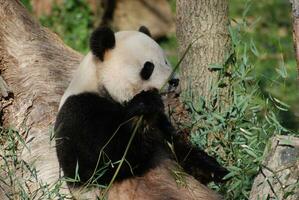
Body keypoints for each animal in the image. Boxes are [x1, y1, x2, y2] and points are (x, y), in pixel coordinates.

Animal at [55, 26, 227, 200]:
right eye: (148, 67)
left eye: (165, 61)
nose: (174, 81)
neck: (99, 83)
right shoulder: (80, 112)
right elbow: (104, 160)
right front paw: (144, 105)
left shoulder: (160, 124)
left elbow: (179, 148)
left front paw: (220, 172)